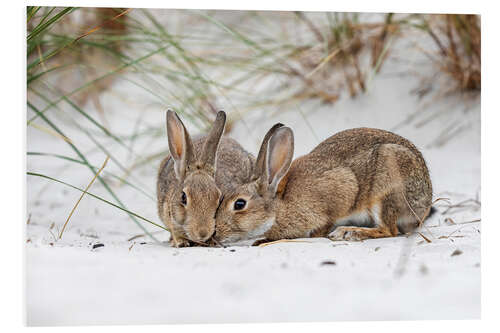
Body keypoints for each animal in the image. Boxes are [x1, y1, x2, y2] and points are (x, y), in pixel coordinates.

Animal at [214, 124, 434, 244]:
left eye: (239, 204)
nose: (215, 233)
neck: (279, 206)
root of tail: (425, 201)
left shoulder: (340, 191)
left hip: (385, 190)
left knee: (389, 230)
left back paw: (348, 232)